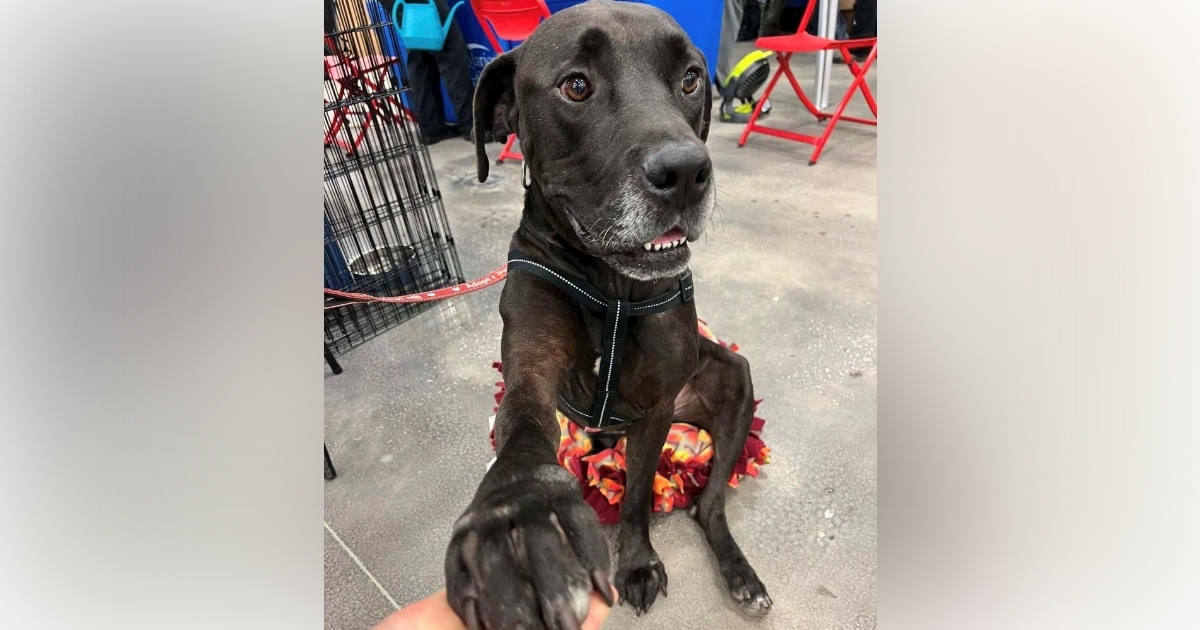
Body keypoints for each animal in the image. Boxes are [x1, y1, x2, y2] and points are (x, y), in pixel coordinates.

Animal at [446, 3, 772, 624]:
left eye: (691, 79)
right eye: (576, 85)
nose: (686, 172)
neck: (614, 288)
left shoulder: (657, 408)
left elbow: (639, 495)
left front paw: (637, 563)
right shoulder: (531, 360)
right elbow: (523, 423)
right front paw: (517, 514)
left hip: (732, 377)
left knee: (708, 506)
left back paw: (743, 575)